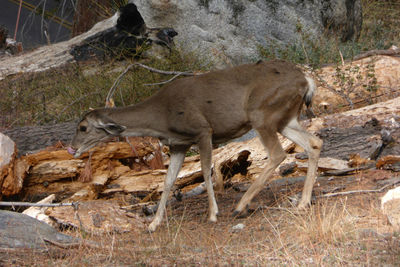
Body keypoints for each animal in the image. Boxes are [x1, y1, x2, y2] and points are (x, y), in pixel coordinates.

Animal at [68, 60, 322, 232]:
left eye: (83, 127)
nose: (71, 148)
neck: (161, 118)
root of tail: (306, 81)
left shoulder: (203, 130)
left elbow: (206, 171)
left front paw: (213, 213)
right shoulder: (178, 145)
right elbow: (168, 181)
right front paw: (154, 224)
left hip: (262, 114)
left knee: (278, 153)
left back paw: (241, 206)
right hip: (285, 119)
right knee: (314, 142)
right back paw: (302, 203)